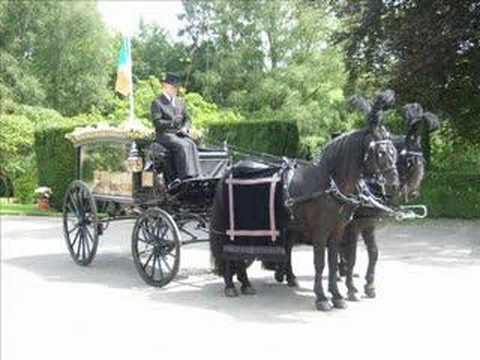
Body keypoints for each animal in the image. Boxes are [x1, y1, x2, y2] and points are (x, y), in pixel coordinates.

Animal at [210, 89, 402, 310]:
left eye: (394, 151)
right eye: (380, 152)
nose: (394, 184)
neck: (329, 184)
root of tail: (229, 170)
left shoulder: (338, 231)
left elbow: (335, 261)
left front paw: (337, 295)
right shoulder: (322, 232)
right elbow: (321, 263)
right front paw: (322, 297)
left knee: (241, 254)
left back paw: (246, 283)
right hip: (232, 227)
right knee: (228, 253)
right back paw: (230, 285)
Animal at [338, 102, 438, 300]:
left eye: (422, 160)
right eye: (410, 161)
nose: (414, 193)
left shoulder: (368, 224)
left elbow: (374, 253)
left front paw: (369, 285)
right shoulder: (353, 226)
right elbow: (352, 255)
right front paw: (351, 288)